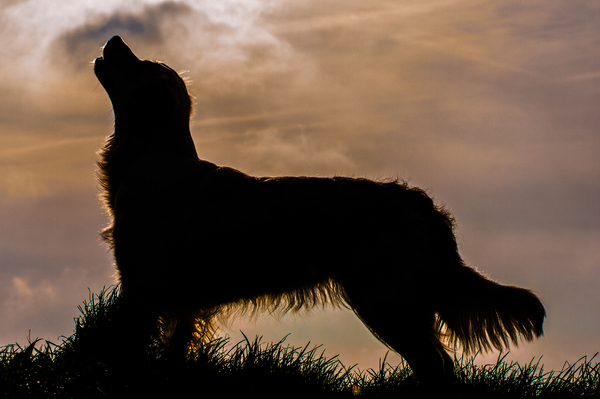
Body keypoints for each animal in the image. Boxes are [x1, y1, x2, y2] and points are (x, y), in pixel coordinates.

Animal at [92, 36, 544, 380]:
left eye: (140, 64)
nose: (114, 39)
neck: (152, 156)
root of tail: (418, 202)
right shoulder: (183, 304)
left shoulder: (142, 289)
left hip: (384, 300)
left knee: (437, 364)